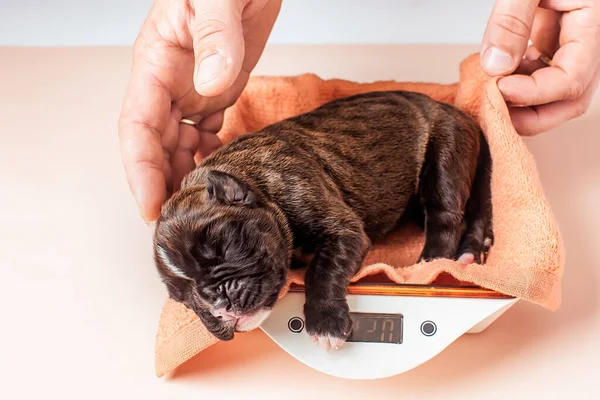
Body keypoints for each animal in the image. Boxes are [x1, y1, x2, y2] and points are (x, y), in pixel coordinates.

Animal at [154, 90, 492, 350]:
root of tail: (457, 112)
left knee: (446, 217)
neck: (251, 176)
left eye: (223, 247)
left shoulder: (342, 230)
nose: (218, 307)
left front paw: (325, 323)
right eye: (182, 297)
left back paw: (431, 263)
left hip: (445, 153)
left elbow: (322, 269)